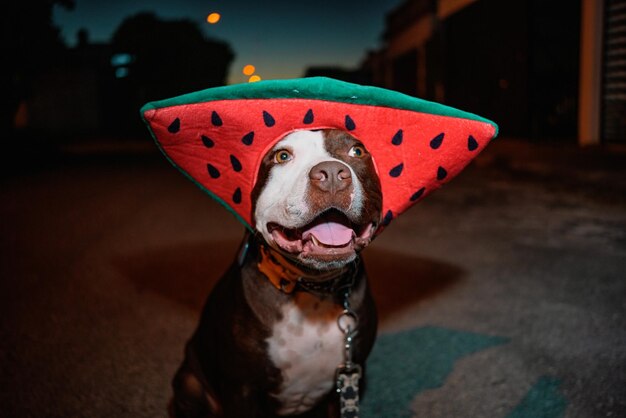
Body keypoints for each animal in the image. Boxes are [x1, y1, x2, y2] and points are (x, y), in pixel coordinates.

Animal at [171, 129, 382, 416]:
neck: (313, 287)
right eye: (282, 156)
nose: (331, 174)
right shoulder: (241, 390)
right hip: (188, 383)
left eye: (357, 151)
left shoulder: (348, 381)